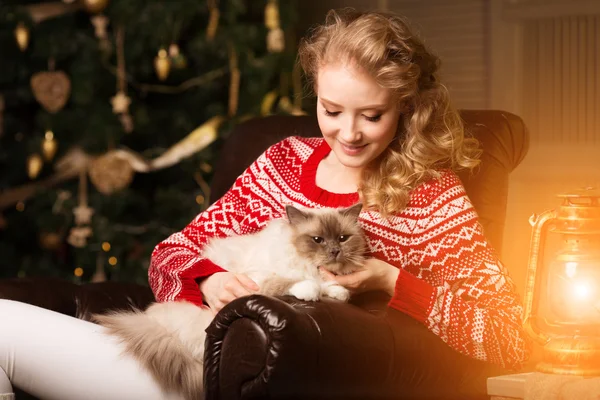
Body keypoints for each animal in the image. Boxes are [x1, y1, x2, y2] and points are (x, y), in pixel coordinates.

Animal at [95, 203, 366, 400]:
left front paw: (336, 291)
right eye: (317, 240)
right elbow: (293, 281)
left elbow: (332, 287)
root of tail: (154, 323)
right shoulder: (259, 279)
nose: (335, 252)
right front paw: (311, 290)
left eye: (343, 238)